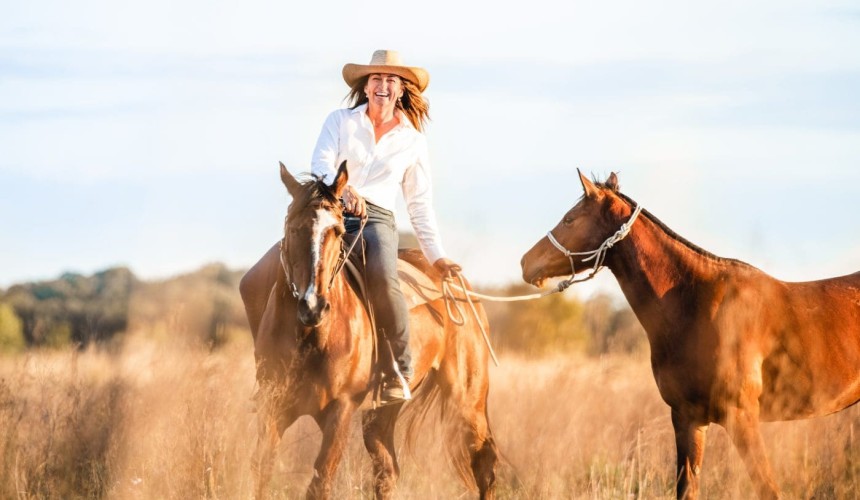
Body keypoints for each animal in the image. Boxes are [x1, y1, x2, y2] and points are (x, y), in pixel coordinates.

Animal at [239, 161, 498, 499]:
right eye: (293, 229)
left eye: (337, 231)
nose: (313, 305)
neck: (310, 337)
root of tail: (455, 282)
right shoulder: (273, 408)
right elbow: (261, 473)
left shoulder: (340, 410)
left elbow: (320, 482)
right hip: (382, 413)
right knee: (387, 472)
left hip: (466, 400)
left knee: (484, 465)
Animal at [520, 170, 860, 499]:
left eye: (569, 219)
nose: (525, 262)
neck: (697, 303)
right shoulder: (688, 418)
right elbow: (687, 489)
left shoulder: (741, 417)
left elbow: (768, 489)